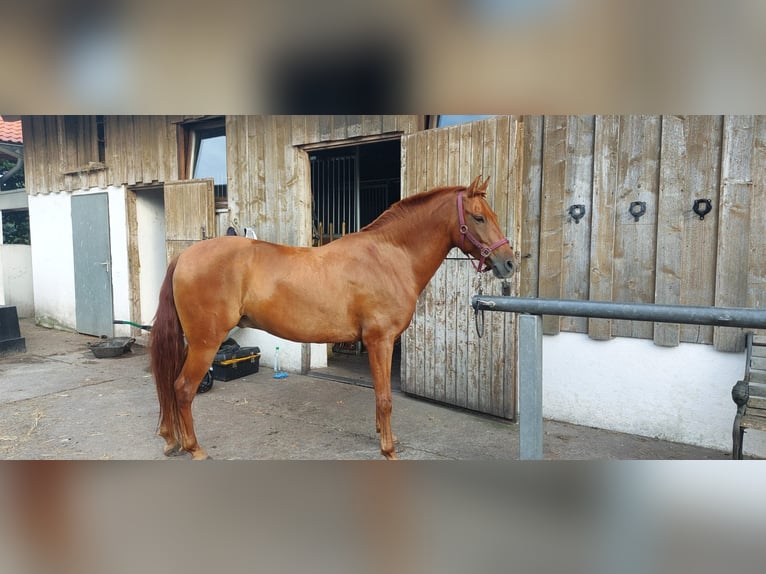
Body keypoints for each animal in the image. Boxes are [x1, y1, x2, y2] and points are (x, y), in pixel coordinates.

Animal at [152, 178, 516, 462]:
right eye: (479, 217)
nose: (509, 262)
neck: (388, 256)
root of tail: (185, 255)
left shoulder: (379, 343)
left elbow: (379, 395)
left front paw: (384, 436)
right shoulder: (380, 340)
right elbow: (385, 399)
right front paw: (388, 449)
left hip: (193, 341)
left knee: (172, 385)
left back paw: (171, 440)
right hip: (205, 342)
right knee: (183, 389)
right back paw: (195, 448)